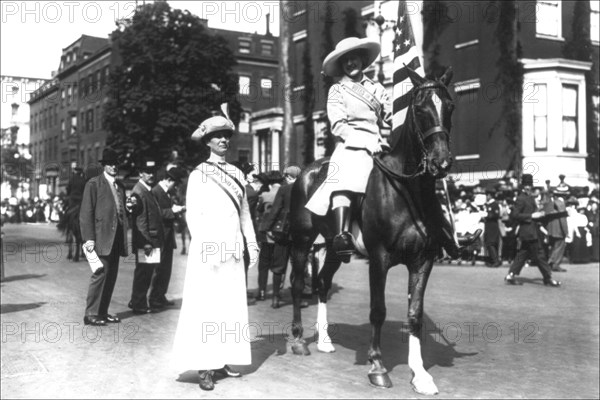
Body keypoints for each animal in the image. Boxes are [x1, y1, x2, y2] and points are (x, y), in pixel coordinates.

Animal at [290, 68, 454, 394]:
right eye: (420, 108)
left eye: (450, 107)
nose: (441, 162)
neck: (406, 191)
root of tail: (306, 171)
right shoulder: (379, 259)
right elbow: (378, 310)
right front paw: (377, 366)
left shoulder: (423, 261)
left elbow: (415, 314)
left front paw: (420, 375)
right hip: (302, 243)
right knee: (297, 284)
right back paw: (300, 339)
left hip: (335, 249)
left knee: (322, 284)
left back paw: (324, 340)